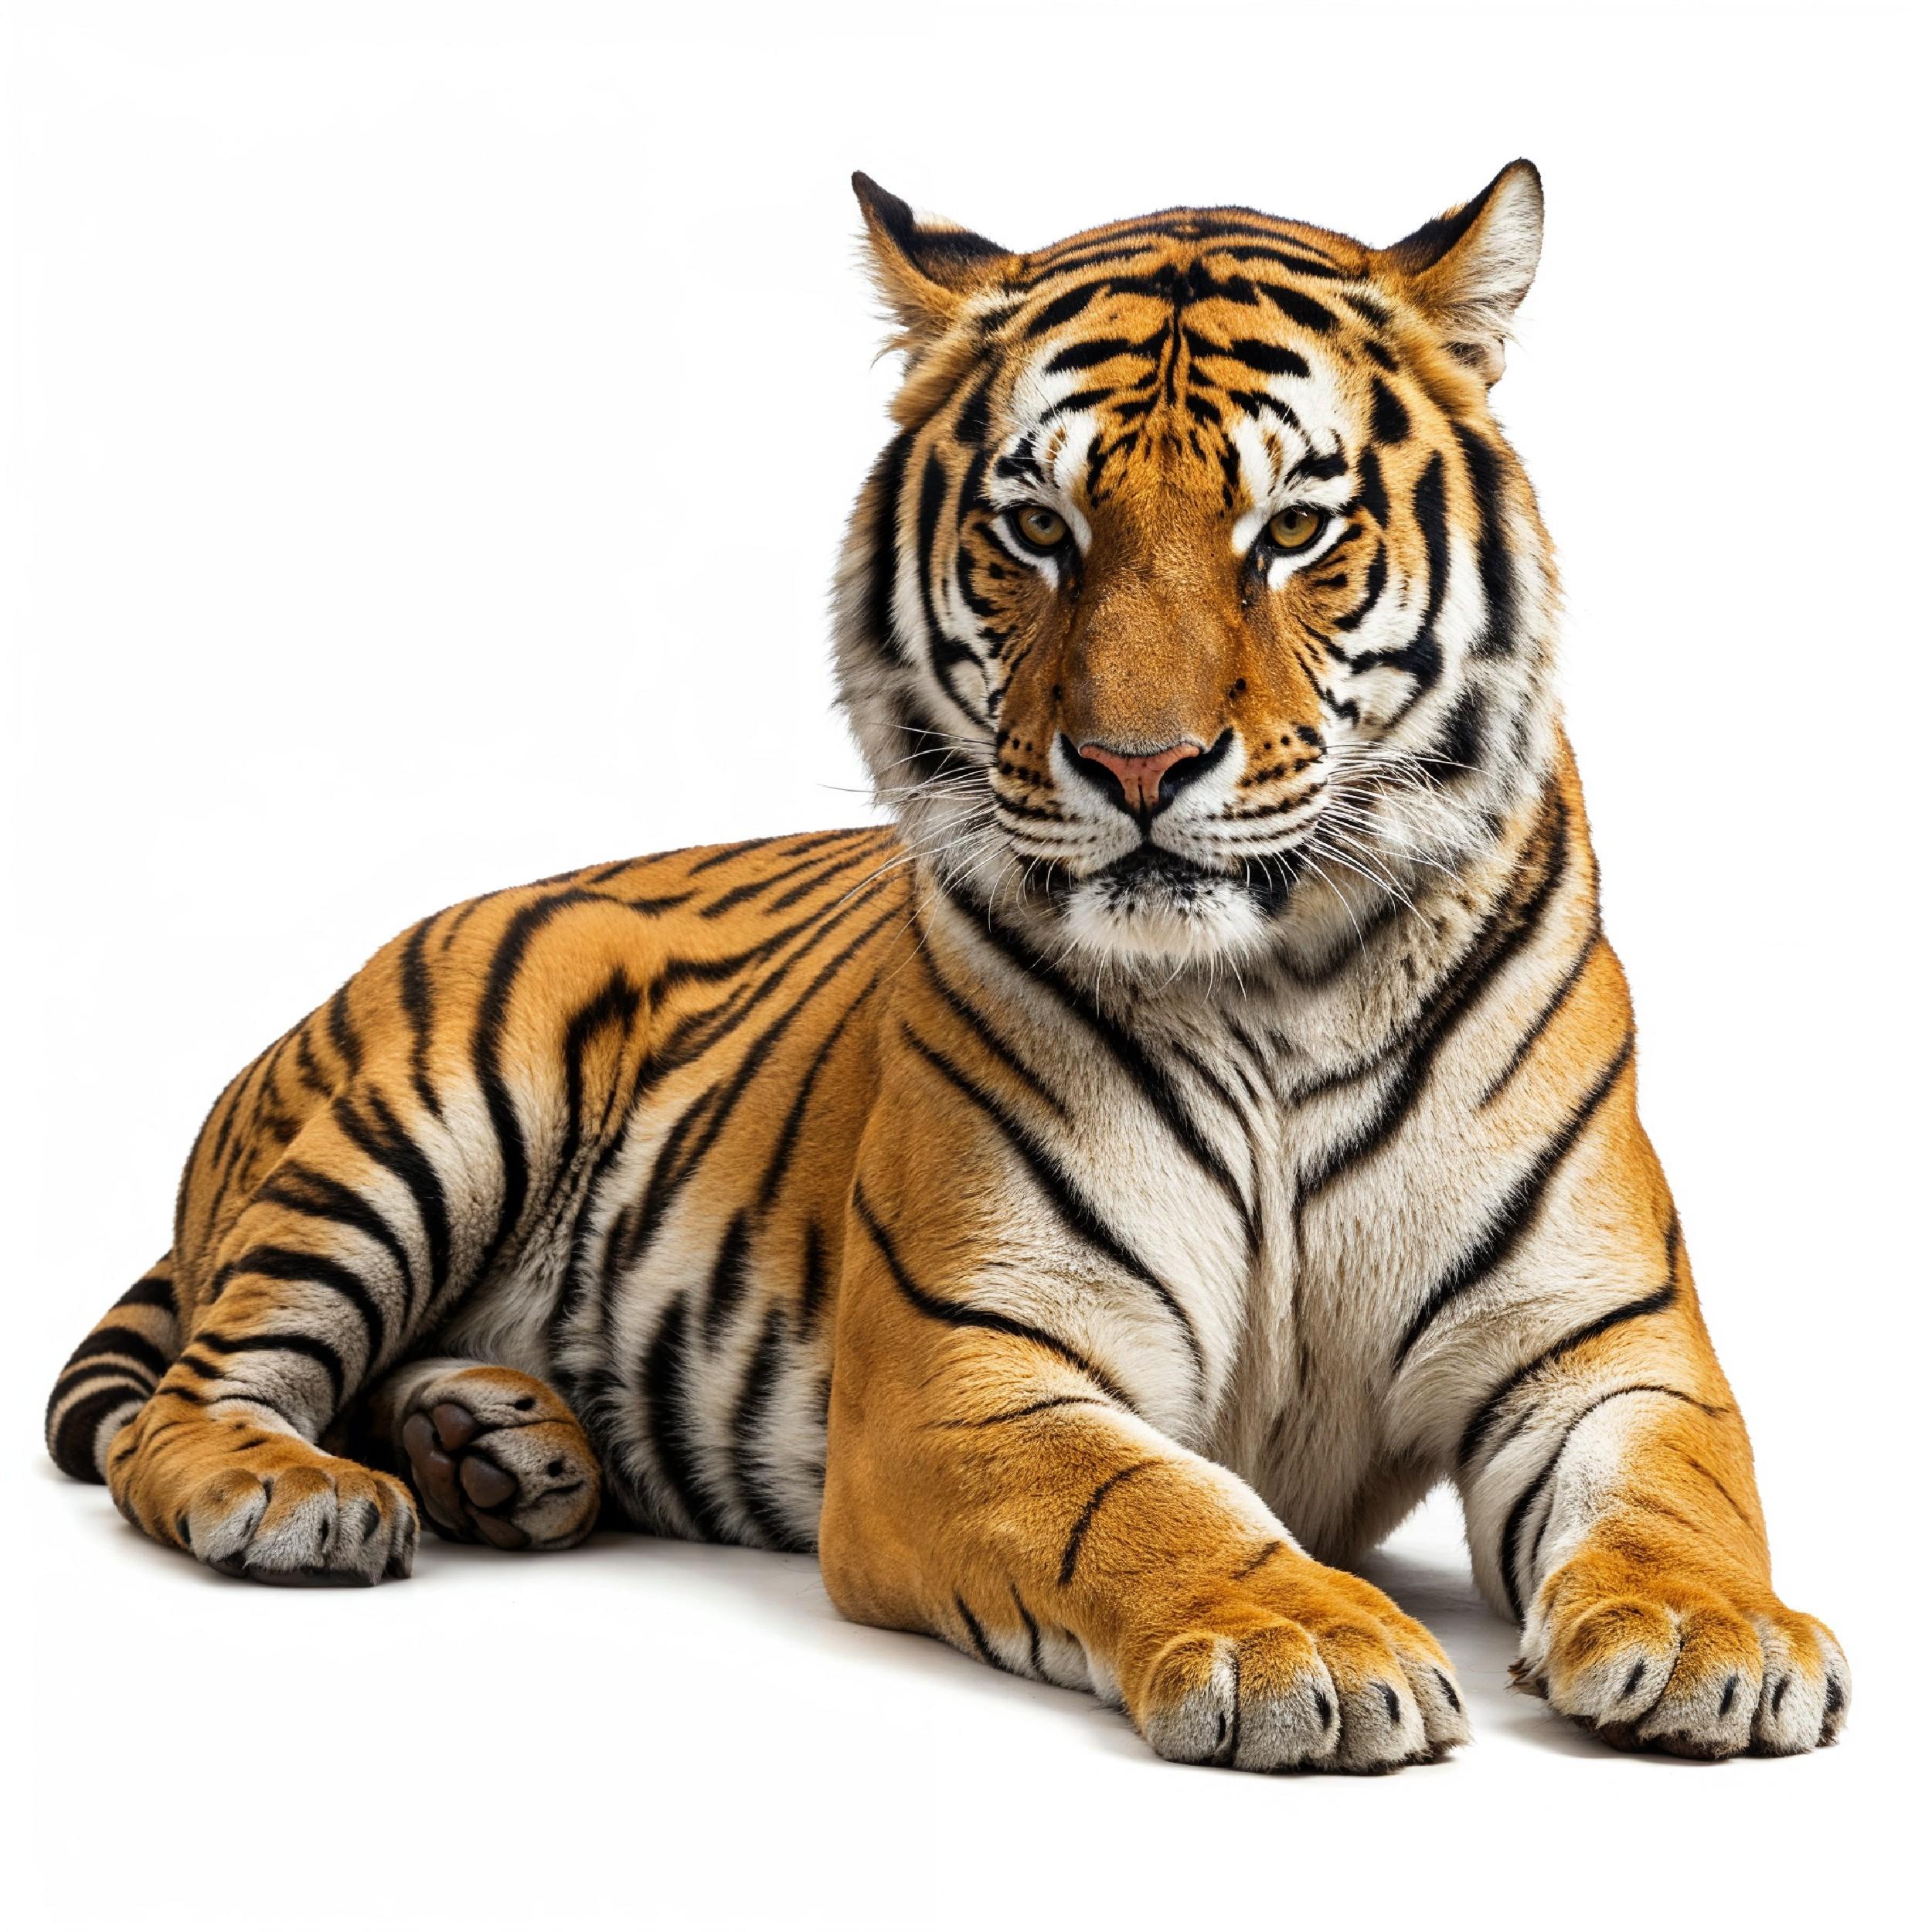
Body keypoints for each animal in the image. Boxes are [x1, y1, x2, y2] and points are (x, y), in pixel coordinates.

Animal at [45, 161, 1847, 1772]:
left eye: (1291, 530)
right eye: (1037, 527)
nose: (1138, 764)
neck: (1271, 990)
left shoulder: (1605, 1341)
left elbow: (1675, 1495)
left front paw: (1715, 1638)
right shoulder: (967, 1371)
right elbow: (1149, 1496)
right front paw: (1302, 1640)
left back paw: (490, 1445)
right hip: (421, 1113)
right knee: (184, 1406)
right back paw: (300, 1490)